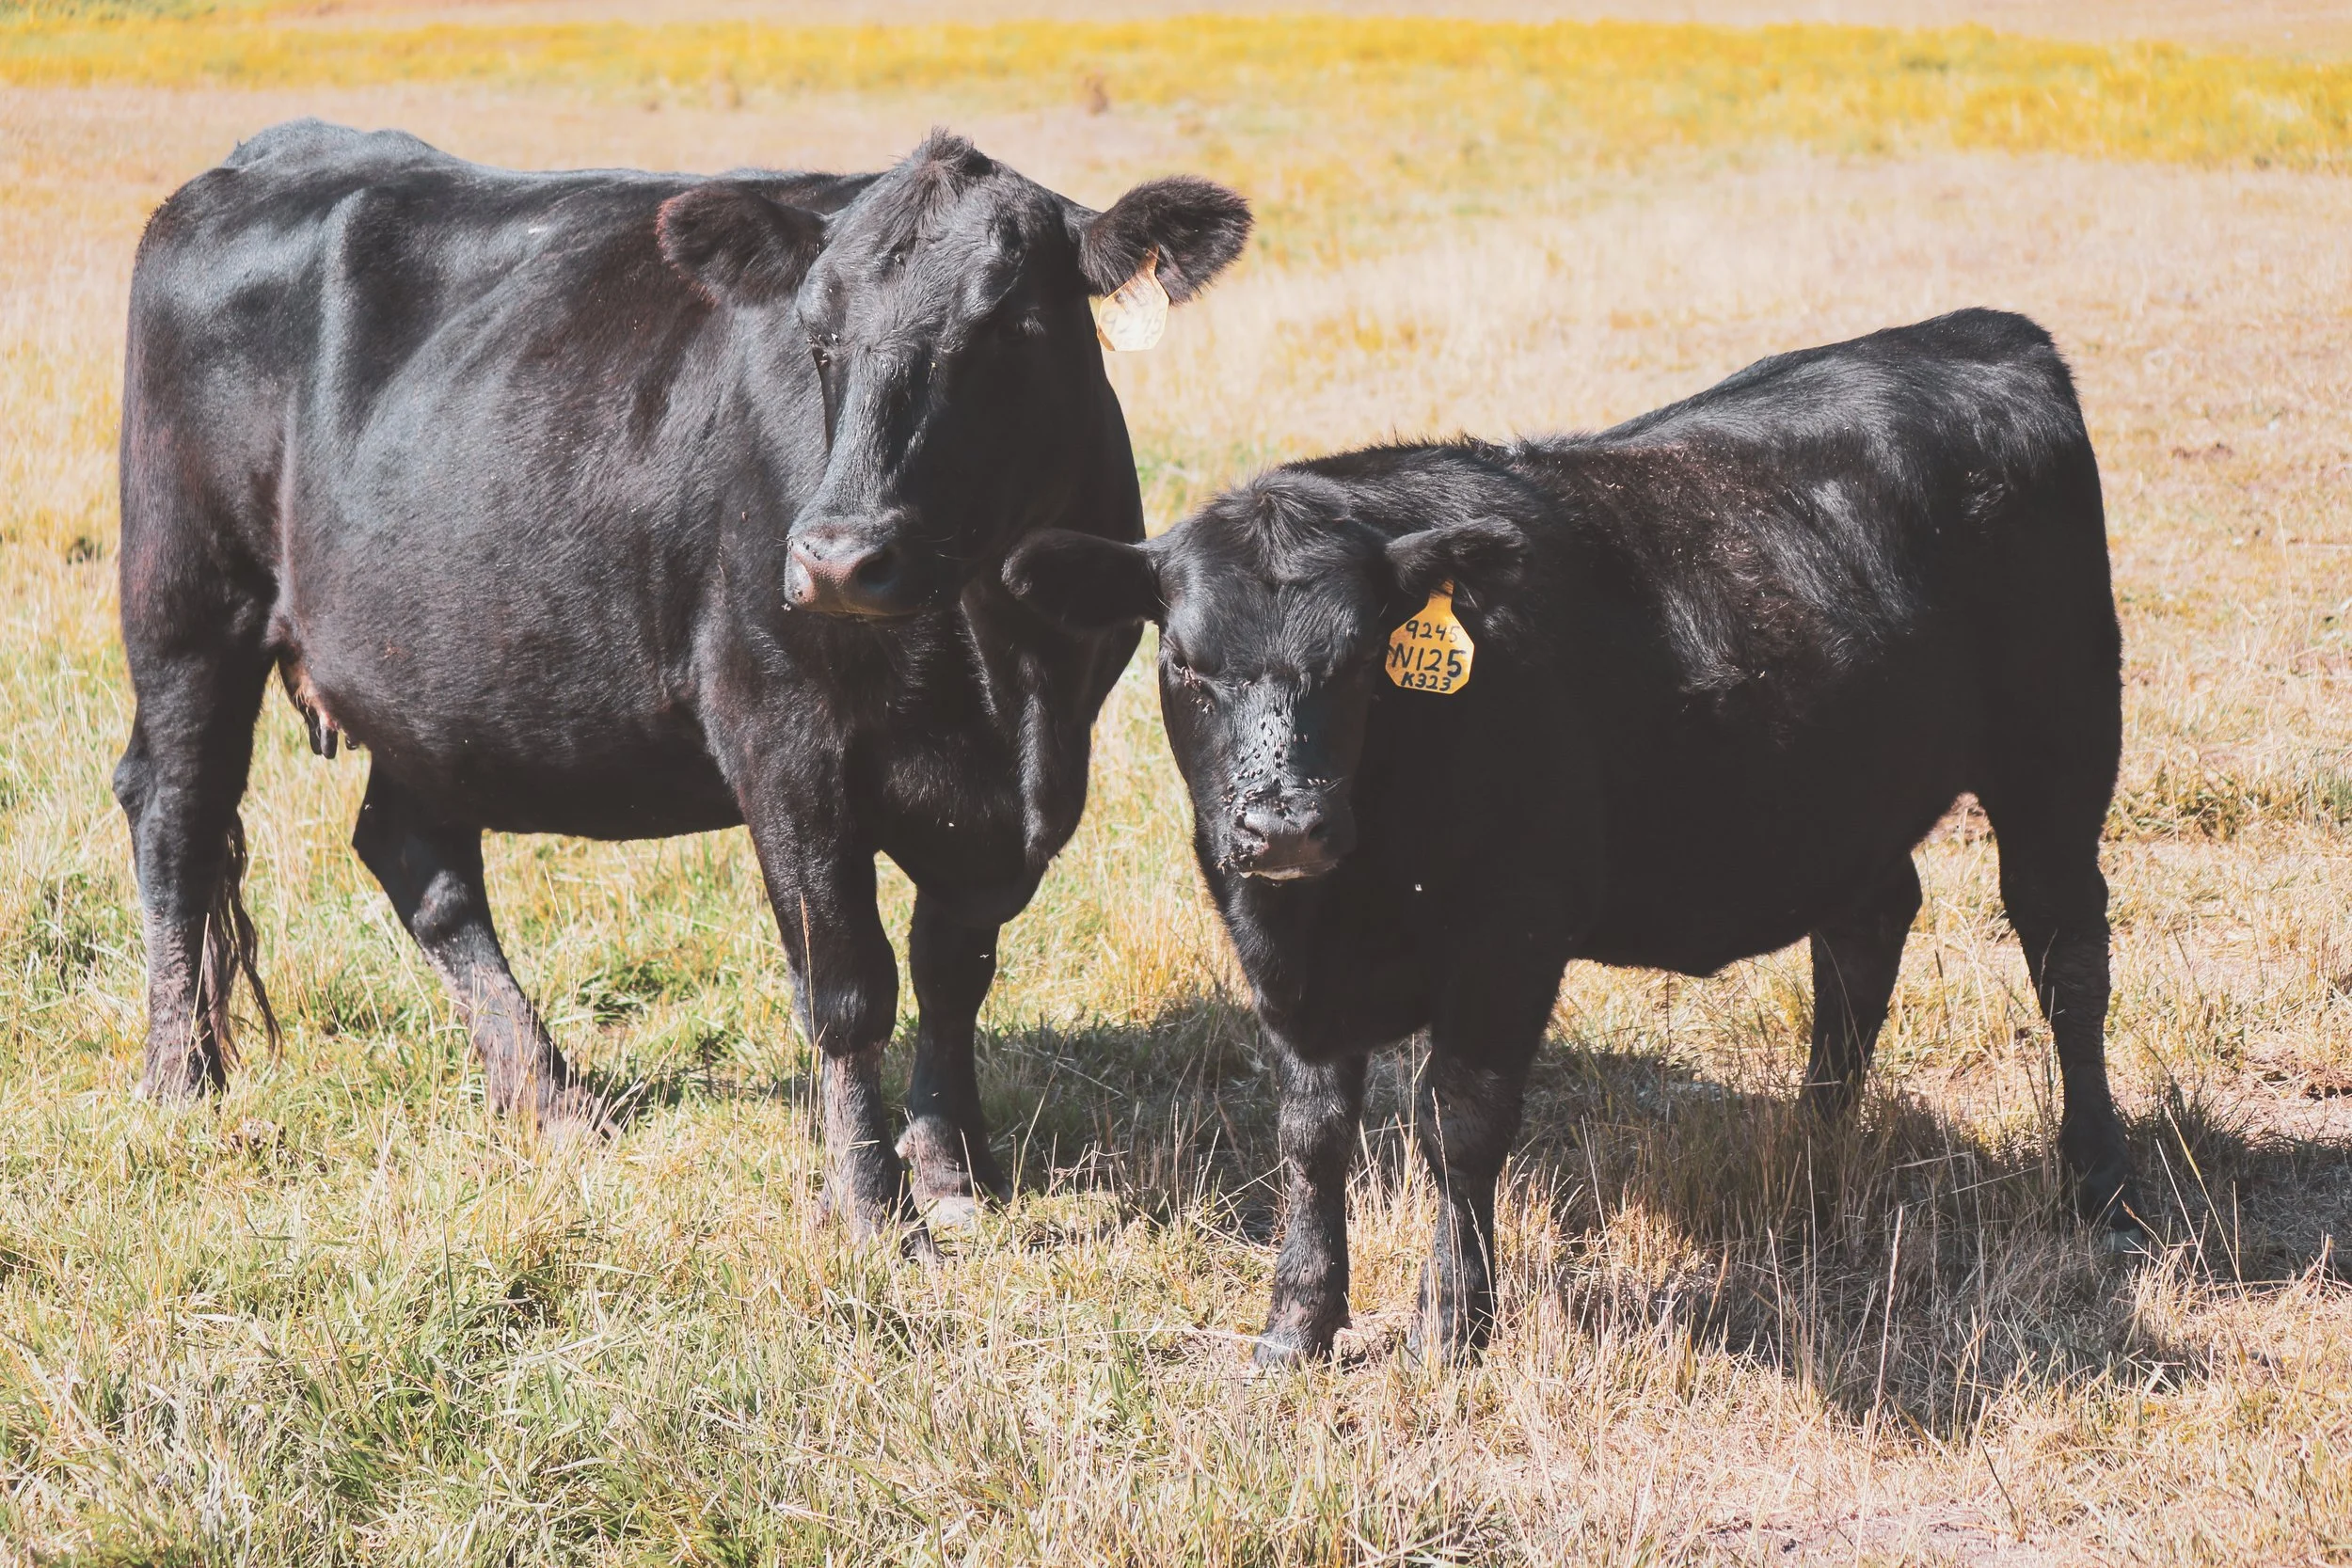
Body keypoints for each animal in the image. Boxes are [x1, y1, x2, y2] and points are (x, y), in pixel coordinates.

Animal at [113, 120, 1249, 1248]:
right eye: (817, 334)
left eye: (1008, 328)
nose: (840, 559)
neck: (1001, 673)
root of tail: (265, 154)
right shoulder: (783, 742)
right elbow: (848, 986)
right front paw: (871, 1205)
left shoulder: (1028, 787)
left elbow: (953, 968)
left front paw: (954, 1165)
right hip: (187, 602)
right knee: (175, 808)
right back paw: (181, 1078)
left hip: (428, 682)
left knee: (416, 857)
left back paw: (550, 1095)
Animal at [1005, 308, 2142, 1362]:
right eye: (1184, 662)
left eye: (1365, 655)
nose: (1285, 820)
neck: (1346, 901)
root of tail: (1978, 332)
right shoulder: (1279, 956)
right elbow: (1309, 1133)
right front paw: (1297, 1321)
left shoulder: (1510, 937)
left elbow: (1459, 1124)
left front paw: (1453, 1320)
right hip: (1850, 793)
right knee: (1864, 937)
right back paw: (1814, 1152)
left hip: (2060, 749)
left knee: (2066, 954)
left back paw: (2100, 1182)